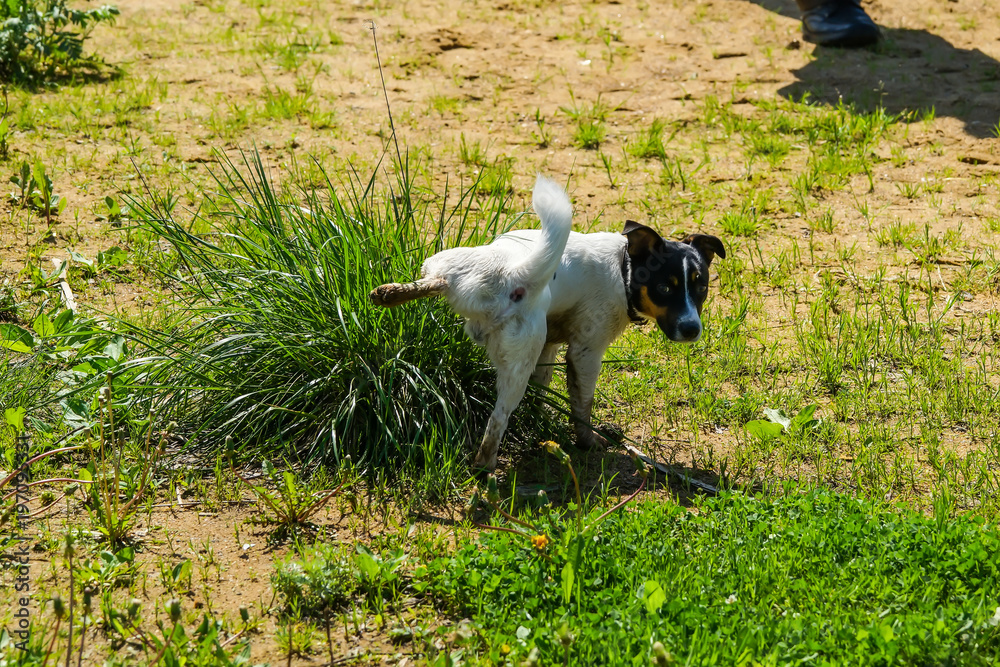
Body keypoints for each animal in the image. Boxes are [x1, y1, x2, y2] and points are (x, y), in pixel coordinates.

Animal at [372, 176, 724, 470]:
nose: (692, 329)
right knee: (497, 422)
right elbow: (582, 406)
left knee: (431, 281)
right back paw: (485, 465)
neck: (622, 269)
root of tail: (513, 273)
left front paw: (542, 420)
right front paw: (587, 441)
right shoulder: (585, 352)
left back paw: (388, 294)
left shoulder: (550, 346)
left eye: (701, 286)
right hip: (520, 362)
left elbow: (542, 391)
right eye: (665, 288)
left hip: (446, 268)